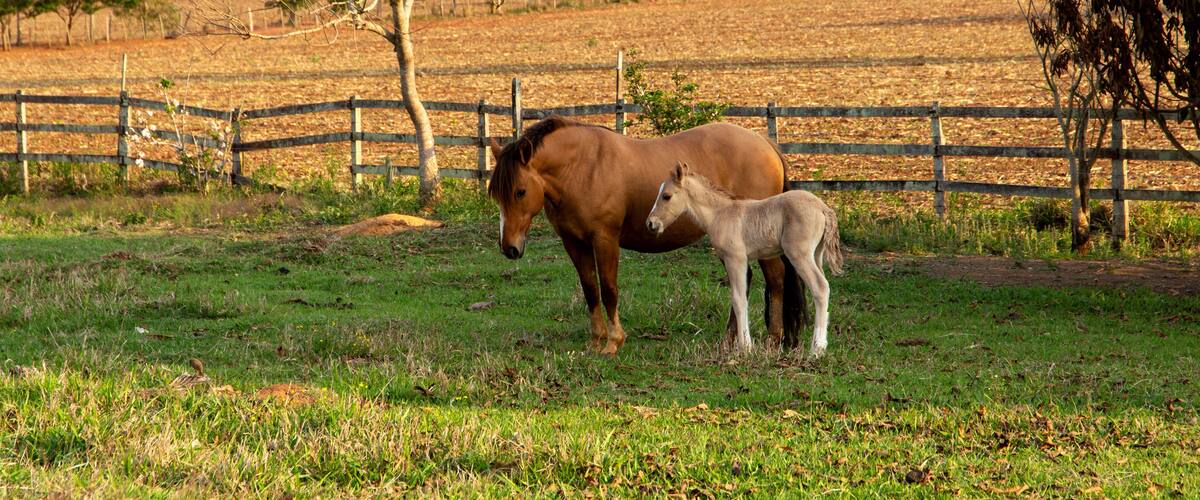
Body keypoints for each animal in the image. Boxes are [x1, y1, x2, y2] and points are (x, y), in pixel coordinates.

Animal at [488, 116, 806, 356]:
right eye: (496, 195)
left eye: (520, 191)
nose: (510, 248)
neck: (584, 167)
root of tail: (765, 144)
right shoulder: (574, 243)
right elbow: (590, 290)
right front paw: (595, 341)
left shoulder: (605, 239)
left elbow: (609, 289)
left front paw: (613, 342)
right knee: (744, 281)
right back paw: (729, 340)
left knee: (775, 278)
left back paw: (773, 339)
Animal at [645, 161, 844, 357]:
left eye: (666, 196)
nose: (651, 223)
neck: (720, 214)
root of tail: (823, 208)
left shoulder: (736, 258)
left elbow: (739, 299)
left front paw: (746, 347)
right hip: (816, 254)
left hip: (799, 254)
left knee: (820, 287)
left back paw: (817, 350)